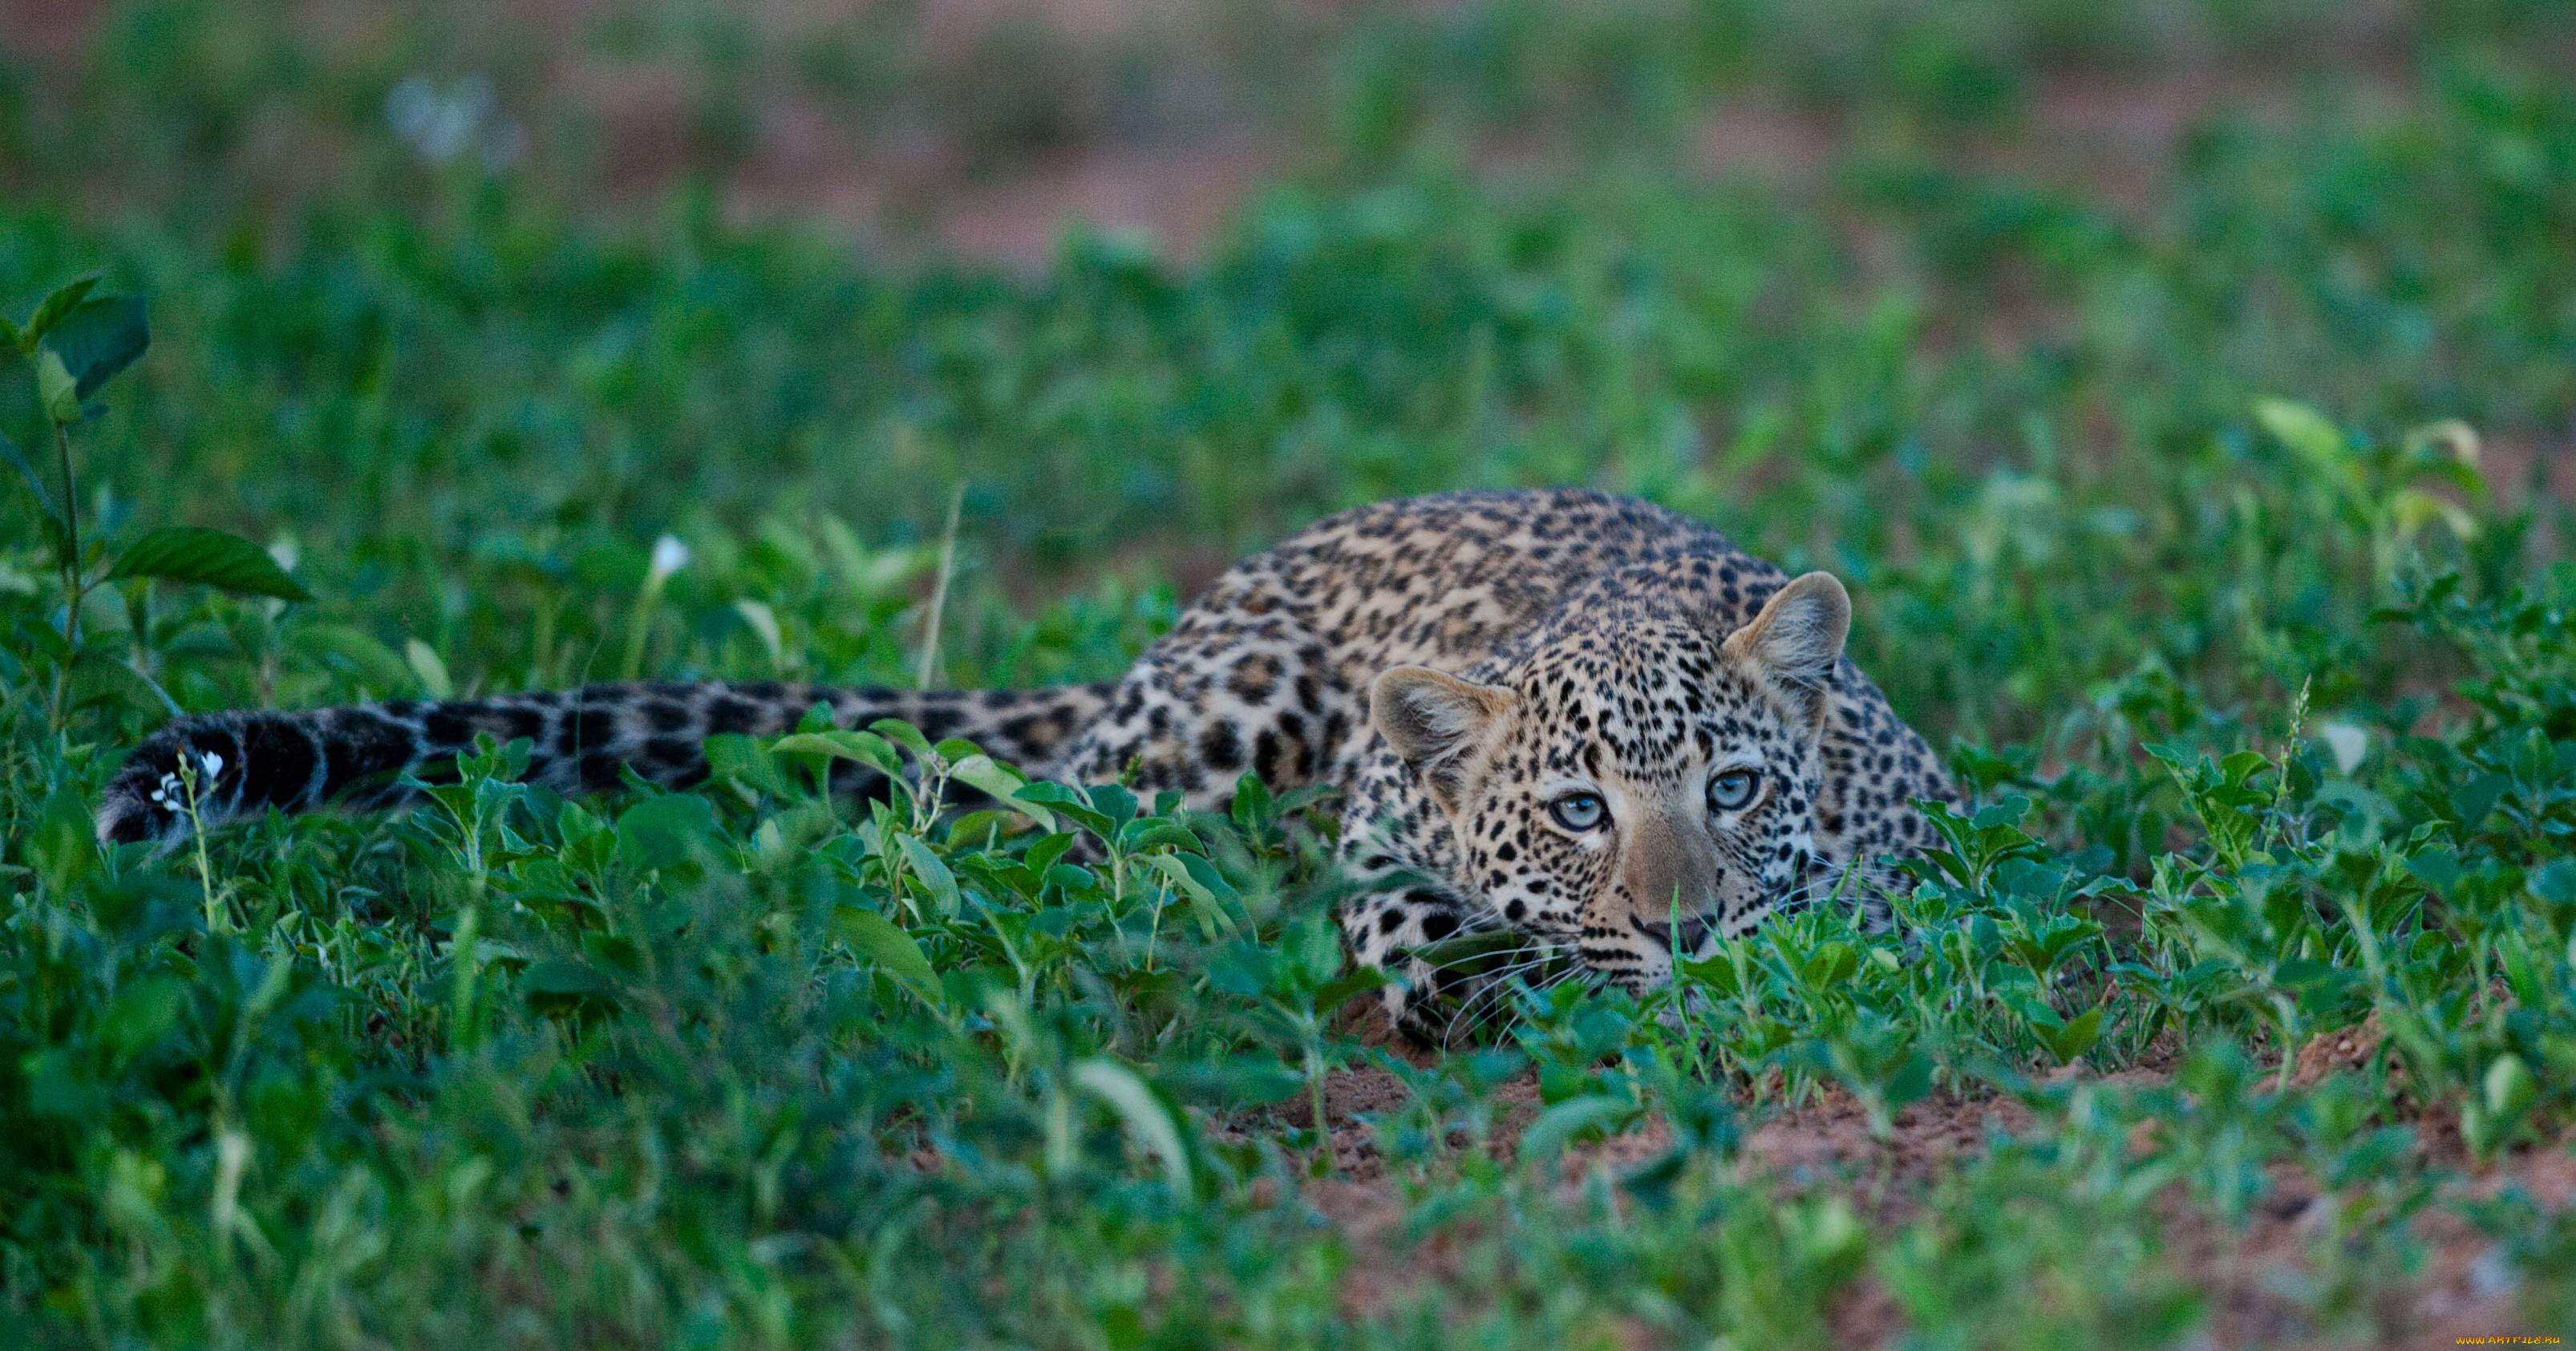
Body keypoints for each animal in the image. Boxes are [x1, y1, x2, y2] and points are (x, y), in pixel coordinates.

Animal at [96, 488, 1955, 1038]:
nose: (1682, 926)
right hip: (1202, 743)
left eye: (1731, 788)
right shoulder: (1379, 839)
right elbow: (1430, 930)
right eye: (1577, 811)